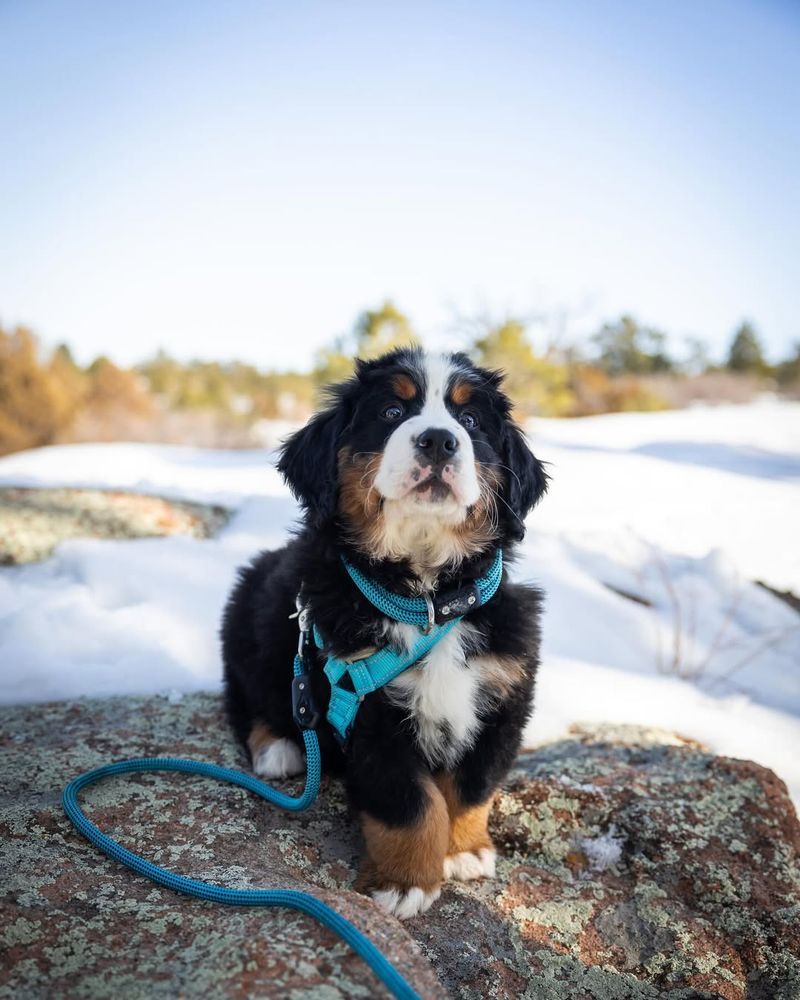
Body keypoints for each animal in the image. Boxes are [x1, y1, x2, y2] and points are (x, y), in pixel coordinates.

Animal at [222, 348, 548, 916]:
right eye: (392, 413)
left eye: (469, 421)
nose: (438, 440)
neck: (426, 599)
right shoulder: (363, 710)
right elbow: (410, 803)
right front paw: (405, 884)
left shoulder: (505, 694)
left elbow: (473, 785)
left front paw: (464, 851)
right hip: (252, 624)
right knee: (250, 701)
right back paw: (279, 749)